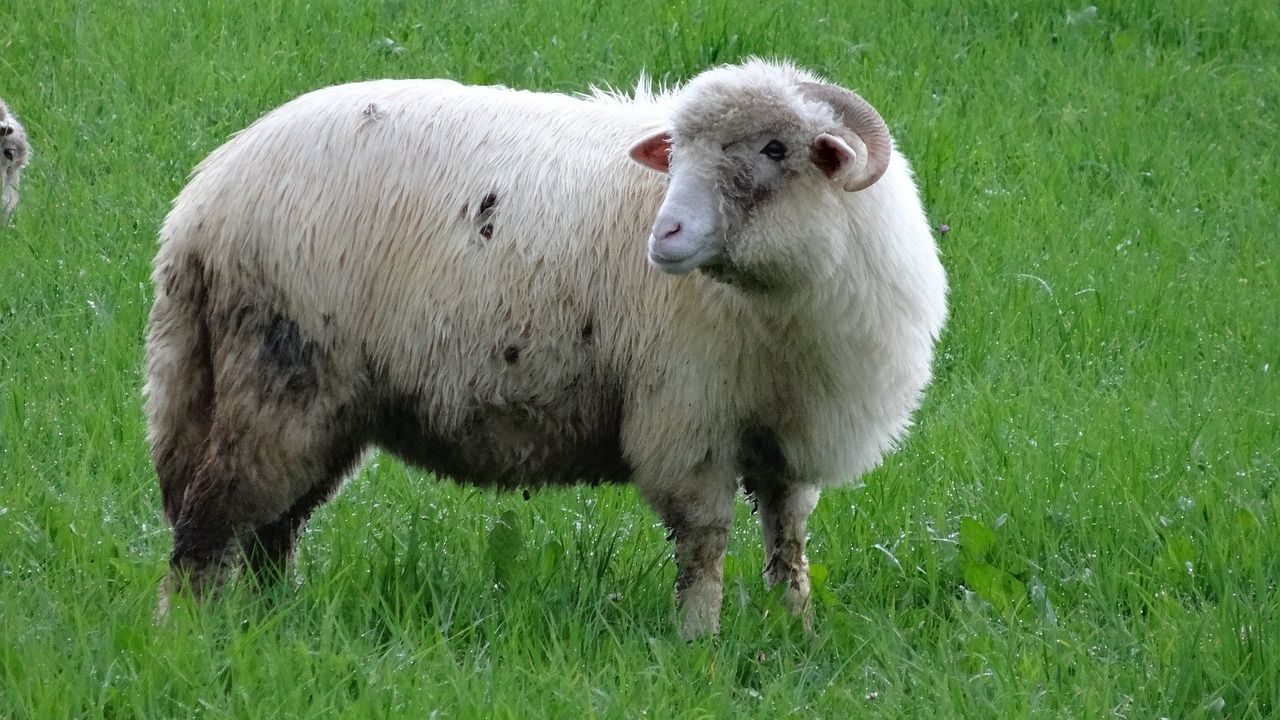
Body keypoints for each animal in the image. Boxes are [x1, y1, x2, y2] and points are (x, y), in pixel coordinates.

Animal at [152, 58, 952, 635]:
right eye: (675, 153)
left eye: (776, 148)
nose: (664, 235)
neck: (776, 291)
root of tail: (202, 201)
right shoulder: (686, 423)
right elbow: (705, 543)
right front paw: (700, 644)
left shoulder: (790, 436)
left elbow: (788, 542)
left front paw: (798, 632)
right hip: (278, 376)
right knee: (213, 518)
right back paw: (189, 635)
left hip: (322, 404)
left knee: (273, 529)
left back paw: (272, 621)